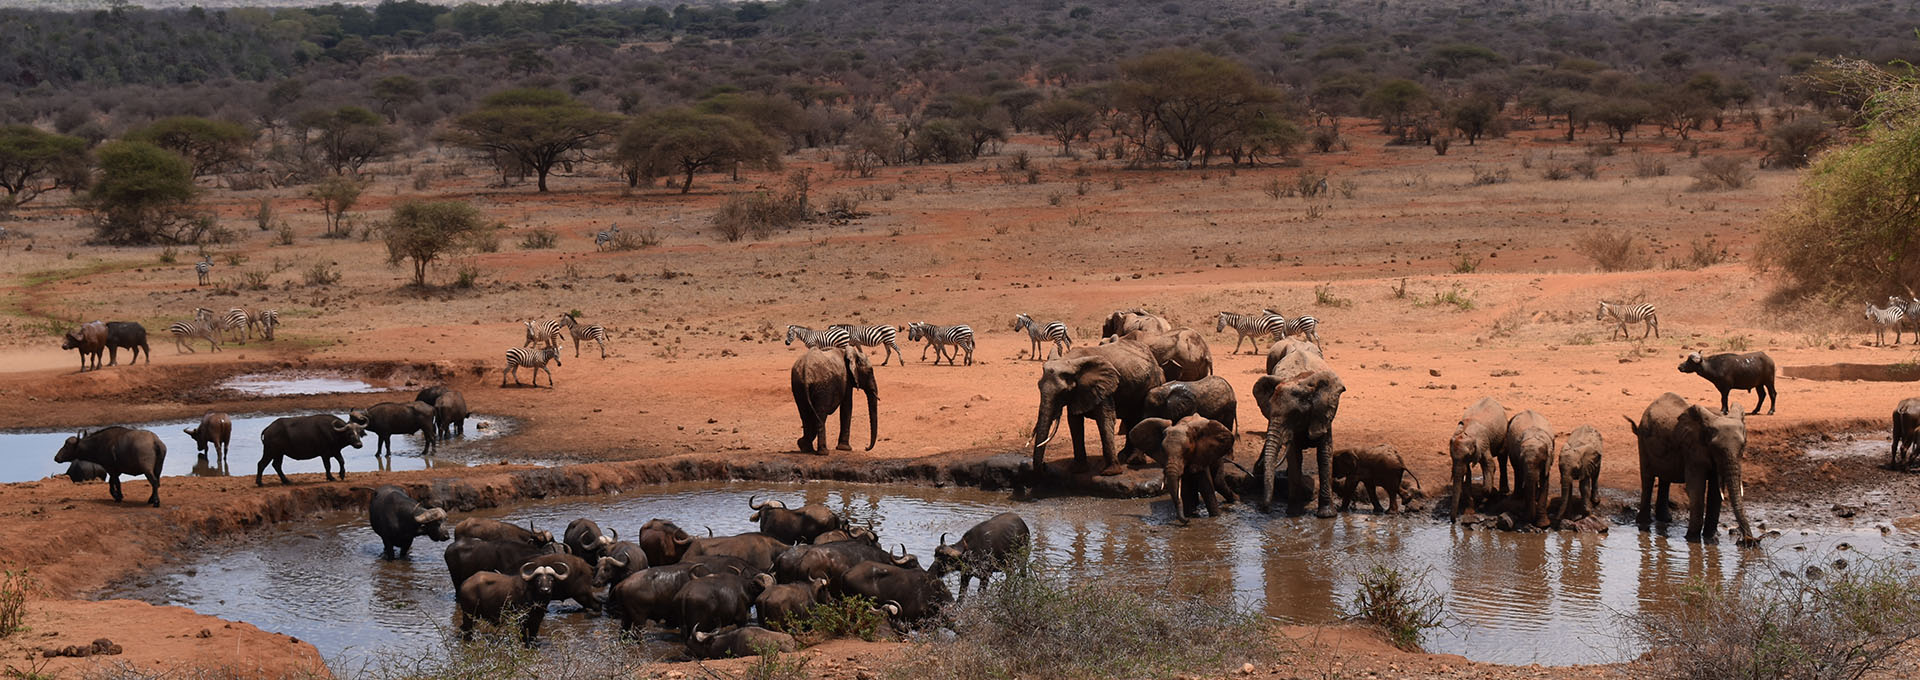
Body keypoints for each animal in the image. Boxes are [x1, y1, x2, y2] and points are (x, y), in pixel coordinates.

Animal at [1029, 338, 1159, 476]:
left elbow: (1105, 419)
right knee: (1130, 420)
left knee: (1141, 418)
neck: (1069, 360)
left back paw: (1135, 461)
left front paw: (1110, 472)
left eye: (1063, 391)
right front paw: (1077, 470)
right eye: (1038, 386)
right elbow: (1074, 422)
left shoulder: (1104, 387)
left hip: (1153, 383)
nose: (1044, 466)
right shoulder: (1078, 392)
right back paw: (1124, 456)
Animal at [1251, 340, 1344, 514]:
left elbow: (1324, 454)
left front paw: (1327, 515)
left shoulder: (1323, 412)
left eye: (1295, 414)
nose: (1262, 508)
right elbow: (1294, 456)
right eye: (1270, 411)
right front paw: (1293, 513)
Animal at [1620, 389, 1758, 545]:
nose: (1749, 540)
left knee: (1665, 479)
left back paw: (1665, 519)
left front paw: (1711, 540)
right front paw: (1693, 539)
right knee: (1648, 478)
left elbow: (1716, 493)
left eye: (1743, 447)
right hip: (1643, 440)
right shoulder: (1692, 450)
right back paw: (1644, 523)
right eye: (1716, 449)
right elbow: (1696, 488)